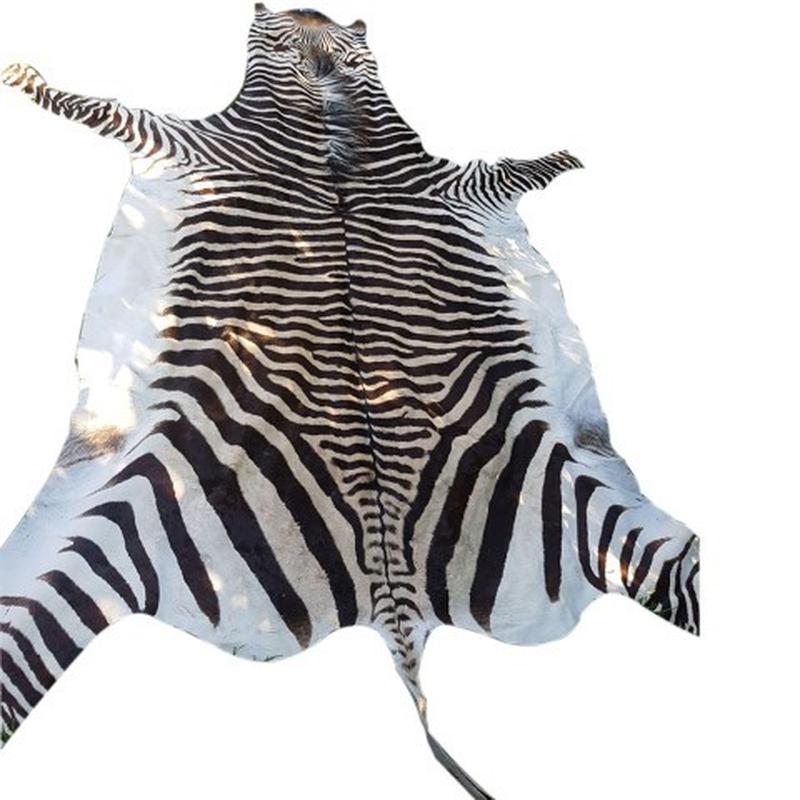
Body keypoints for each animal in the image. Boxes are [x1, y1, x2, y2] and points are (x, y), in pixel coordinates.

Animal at [0, 6, 699, 797]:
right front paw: (27, 78)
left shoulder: (452, 182)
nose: (309, 12)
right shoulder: (197, 138)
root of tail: (396, 606)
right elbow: (97, 105)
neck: (323, 100)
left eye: (328, 35)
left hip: (601, 509)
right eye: (285, 30)